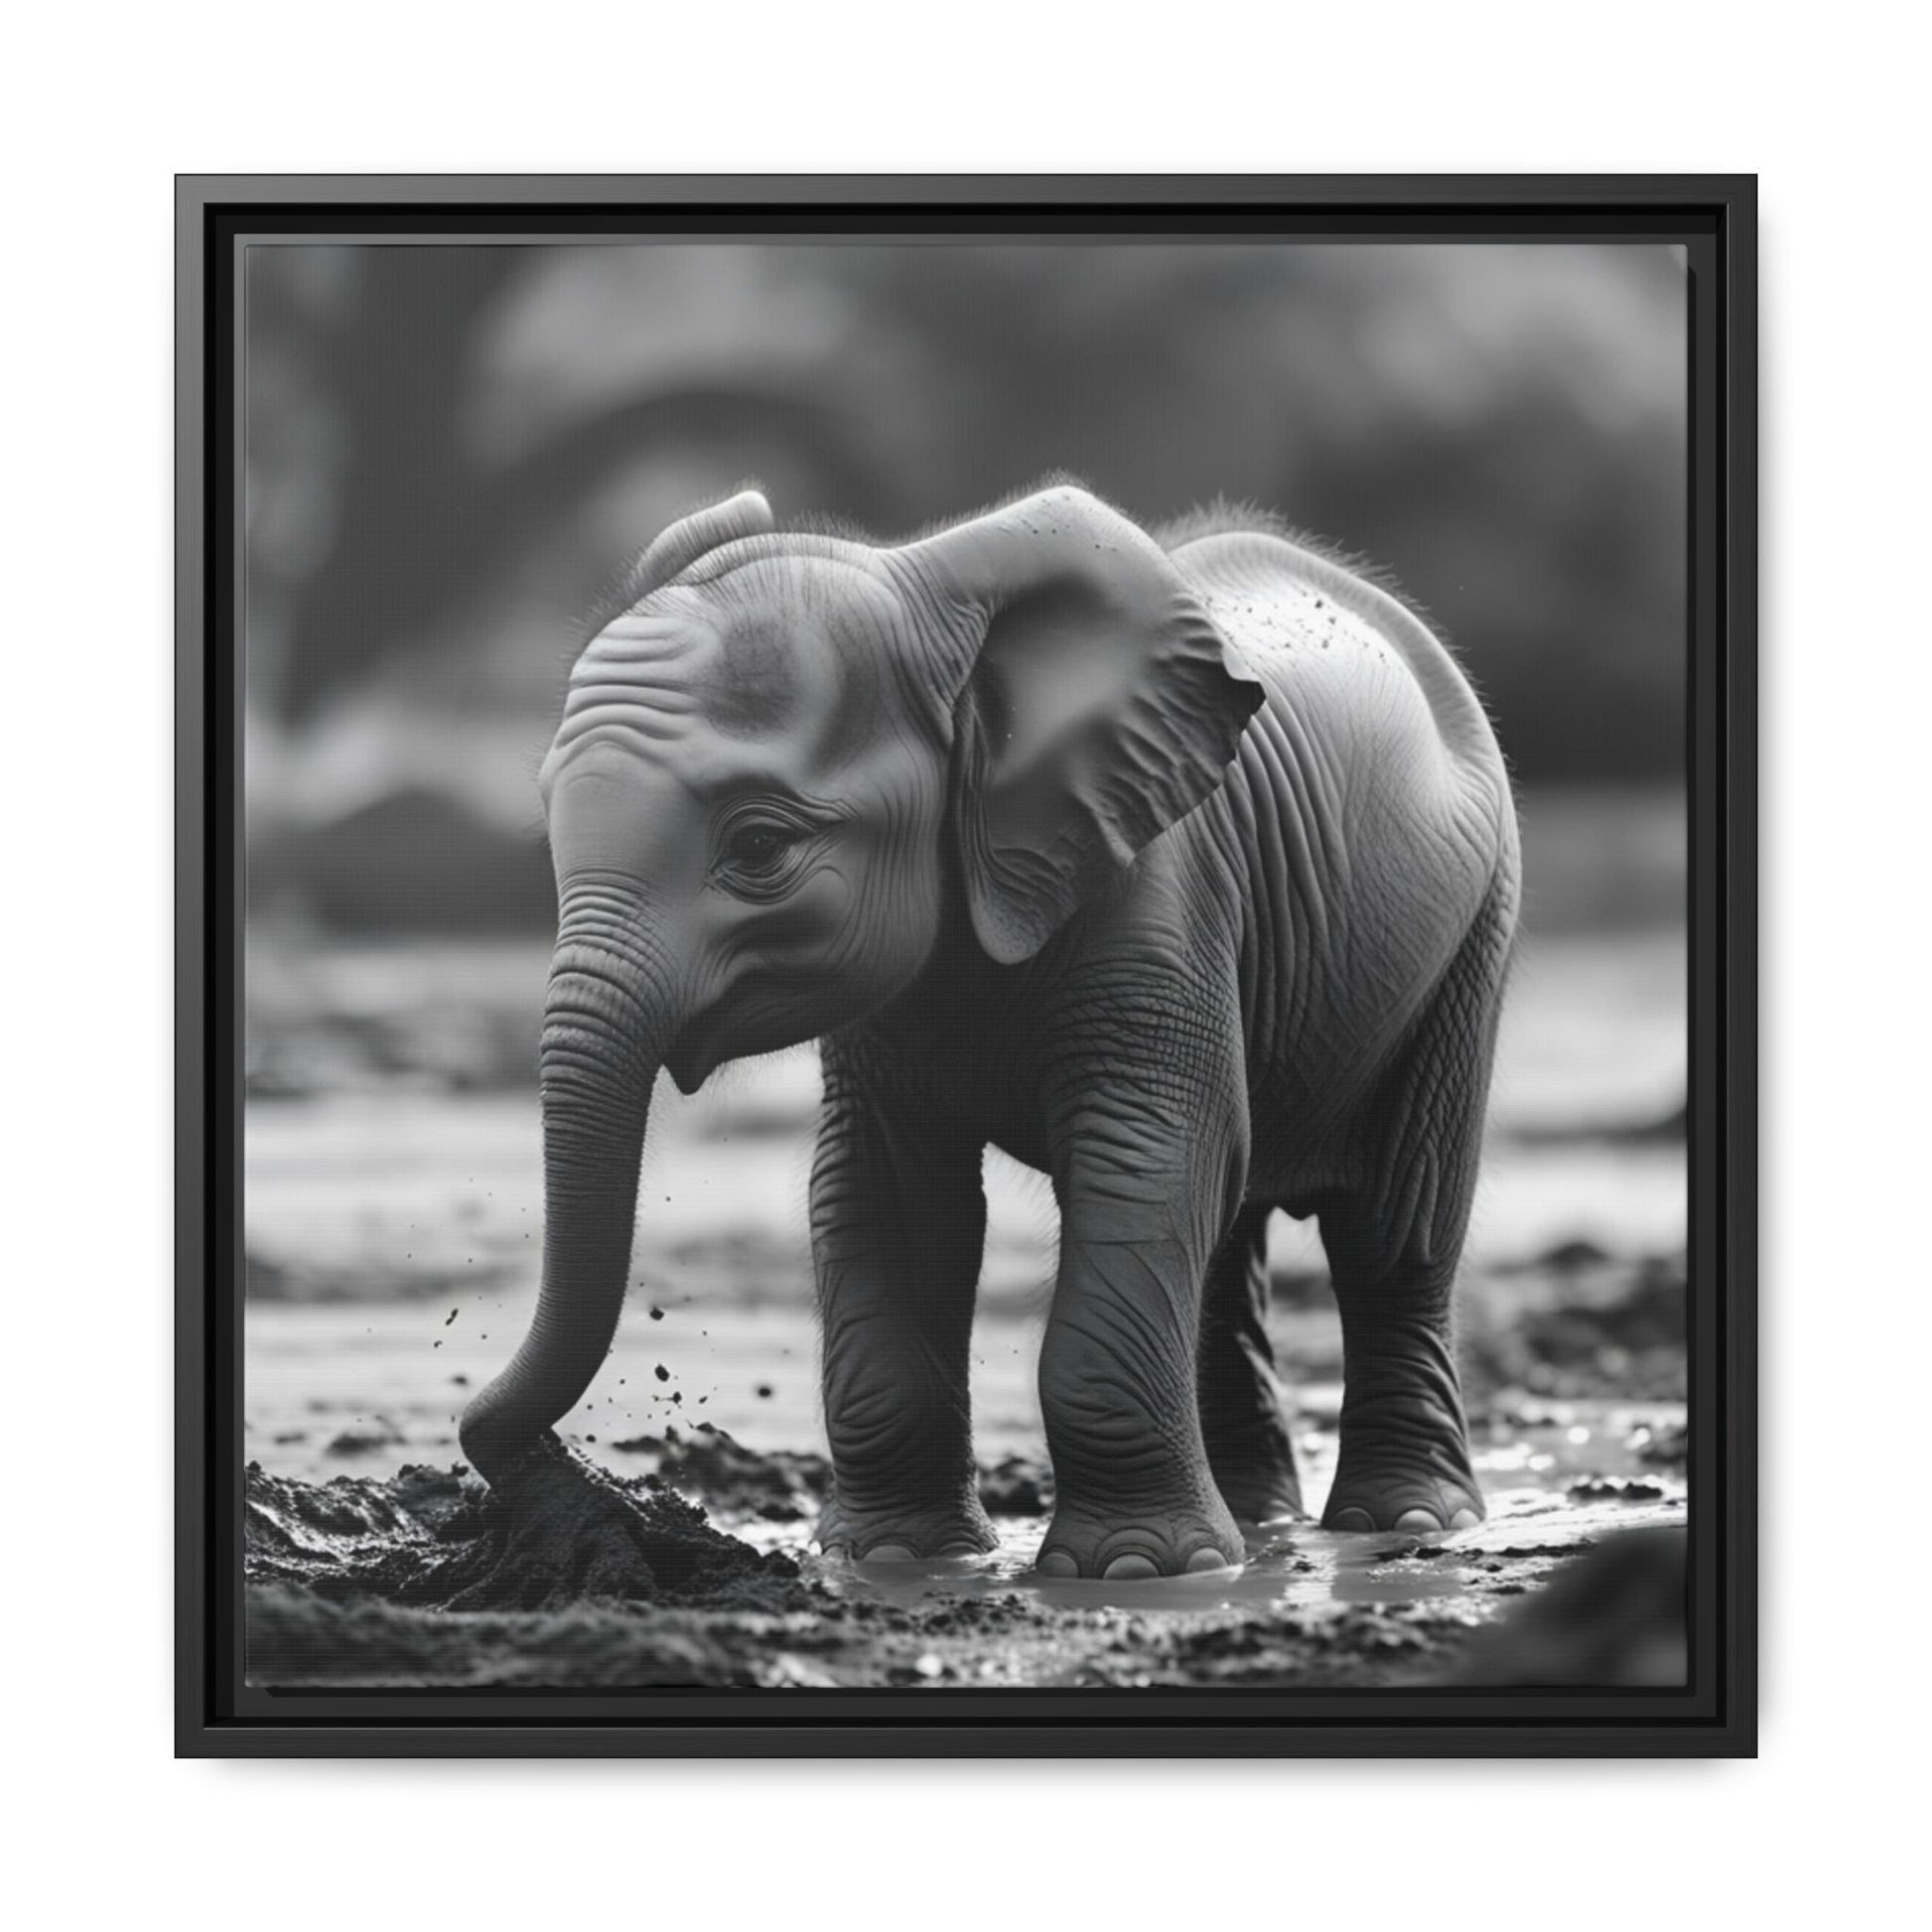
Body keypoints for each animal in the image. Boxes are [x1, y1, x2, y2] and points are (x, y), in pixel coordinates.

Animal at [458, 479, 1520, 1580]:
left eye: (758, 846)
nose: (560, 1475)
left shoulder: (1161, 890)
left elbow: (1143, 1158)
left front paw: (1132, 1570)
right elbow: (885, 1194)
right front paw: (893, 1559)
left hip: (1471, 930)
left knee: (1394, 1225)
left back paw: (1404, 1522)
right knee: (1230, 1237)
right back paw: (1258, 1525)